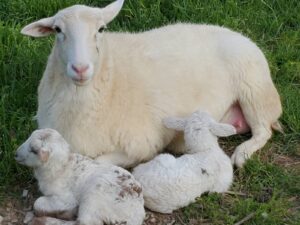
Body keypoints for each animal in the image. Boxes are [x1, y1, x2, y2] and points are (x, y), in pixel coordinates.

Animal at [14, 128, 145, 225]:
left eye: (34, 150)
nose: (15, 154)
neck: (62, 167)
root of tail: (137, 212)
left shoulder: (66, 198)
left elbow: (38, 202)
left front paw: (65, 212)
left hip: (94, 196)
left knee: (85, 222)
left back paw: (43, 220)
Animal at [20, 0, 282, 167]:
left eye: (101, 29)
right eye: (57, 30)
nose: (80, 68)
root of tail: (236, 33)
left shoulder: (141, 144)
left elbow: (99, 161)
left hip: (255, 90)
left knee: (263, 130)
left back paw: (242, 154)